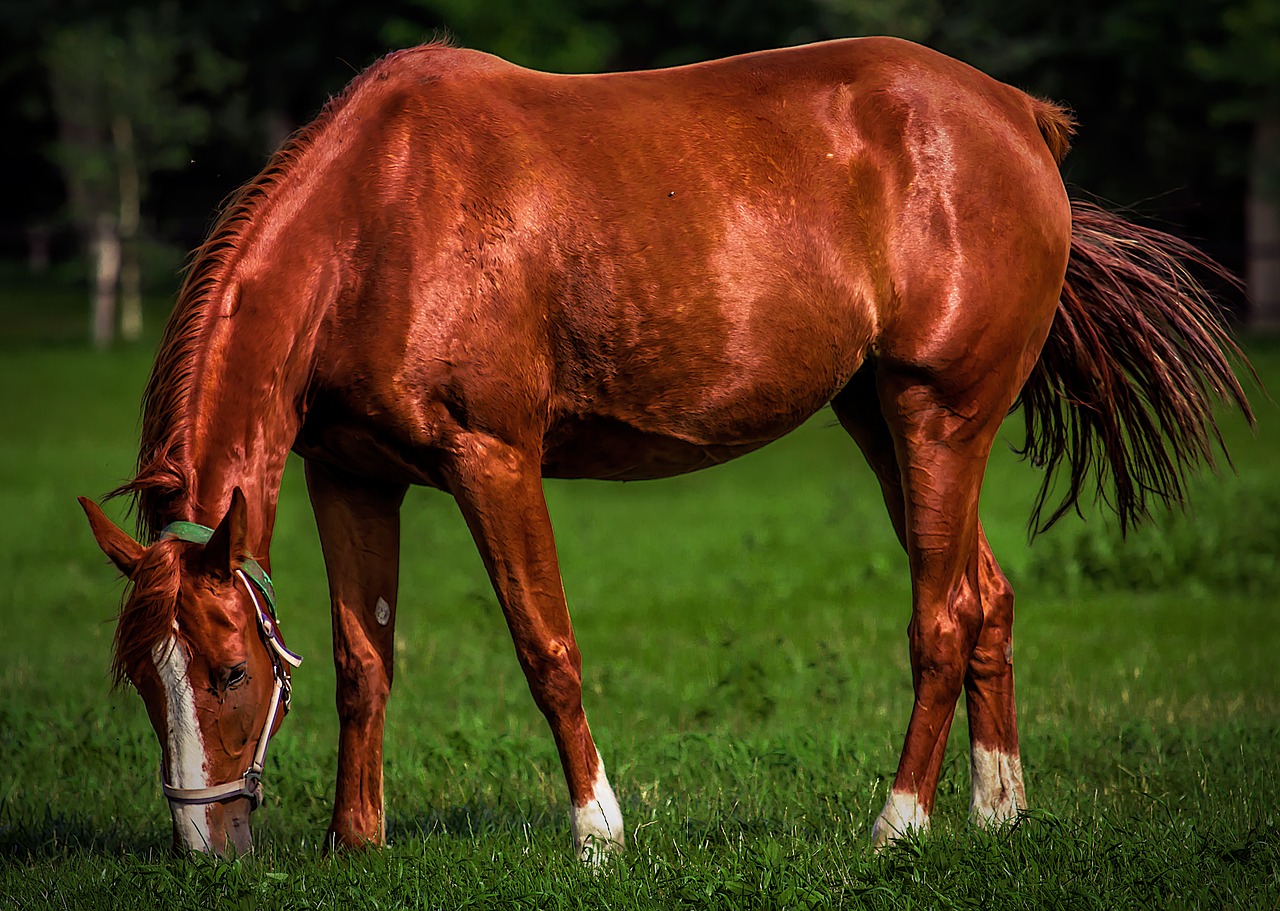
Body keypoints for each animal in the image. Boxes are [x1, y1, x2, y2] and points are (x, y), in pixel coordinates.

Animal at [77, 37, 1249, 859]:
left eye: (229, 670)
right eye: (144, 677)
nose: (206, 845)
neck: (378, 216)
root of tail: (1017, 116)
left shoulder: (492, 460)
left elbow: (545, 646)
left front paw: (598, 832)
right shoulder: (352, 474)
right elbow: (364, 659)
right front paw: (353, 841)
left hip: (938, 419)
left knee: (943, 617)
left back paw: (899, 822)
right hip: (881, 421)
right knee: (987, 595)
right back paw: (997, 809)